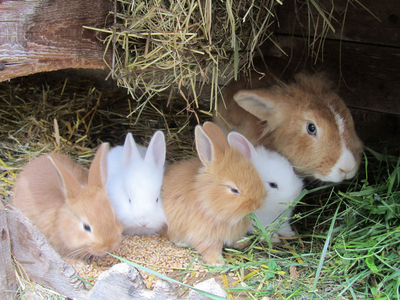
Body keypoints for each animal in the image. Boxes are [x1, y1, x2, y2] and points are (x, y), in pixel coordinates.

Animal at [161, 120, 268, 266]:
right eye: (234, 190)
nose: (258, 205)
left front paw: (243, 244)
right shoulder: (206, 237)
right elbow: (210, 249)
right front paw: (218, 262)